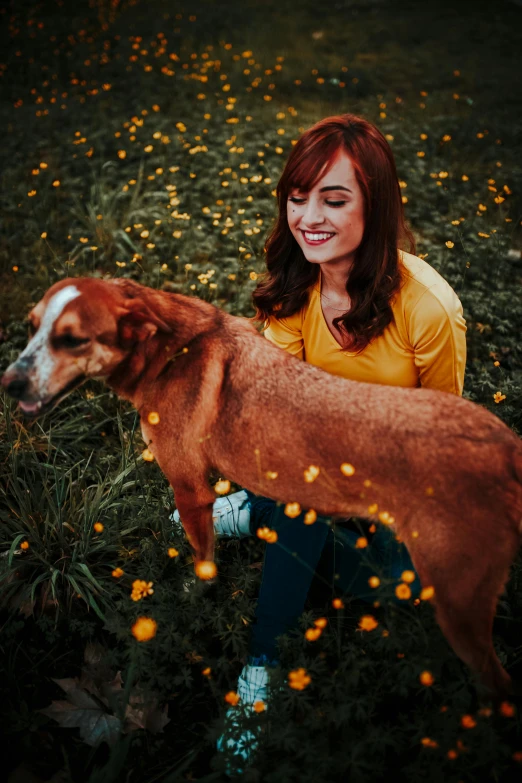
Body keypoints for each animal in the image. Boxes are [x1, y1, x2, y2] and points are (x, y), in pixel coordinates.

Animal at [3, 274, 520, 700]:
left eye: (72, 339)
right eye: (30, 327)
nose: (9, 383)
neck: (171, 349)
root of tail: (508, 449)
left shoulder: (188, 487)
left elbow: (203, 563)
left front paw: (197, 593)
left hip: (455, 601)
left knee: (498, 681)